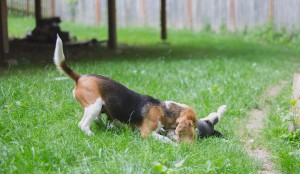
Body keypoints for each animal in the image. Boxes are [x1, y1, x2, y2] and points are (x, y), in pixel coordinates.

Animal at [52, 36, 198, 143]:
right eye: (193, 124)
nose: (197, 134)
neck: (164, 109)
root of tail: (80, 77)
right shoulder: (146, 133)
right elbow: (163, 138)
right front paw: (173, 144)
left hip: (98, 107)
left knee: (97, 120)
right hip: (94, 106)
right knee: (82, 125)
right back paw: (92, 135)